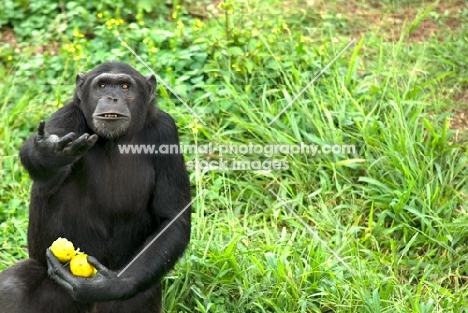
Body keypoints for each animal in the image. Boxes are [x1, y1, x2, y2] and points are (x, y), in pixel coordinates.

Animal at [0, 61, 192, 312]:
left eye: (125, 86)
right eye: (101, 86)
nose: (111, 97)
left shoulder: (166, 133)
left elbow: (172, 217)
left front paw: (110, 285)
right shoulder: (67, 118)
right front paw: (48, 152)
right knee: (13, 287)